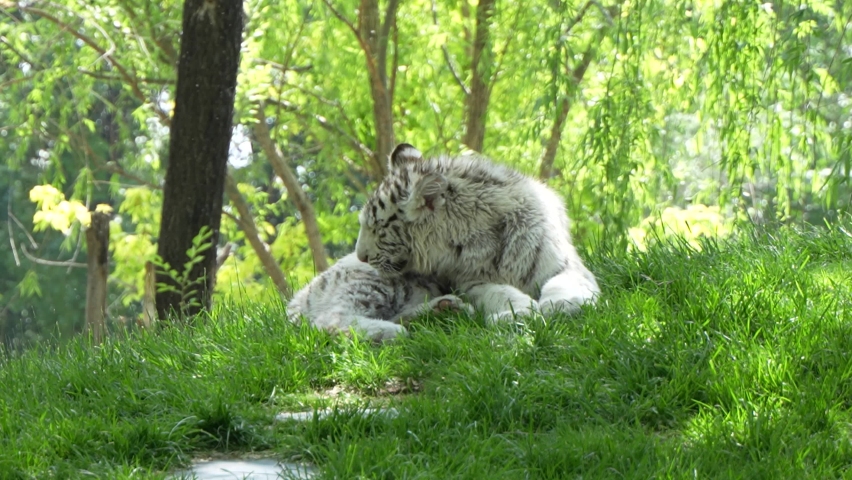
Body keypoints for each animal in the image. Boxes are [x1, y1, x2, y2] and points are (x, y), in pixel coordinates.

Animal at [354, 143, 600, 323]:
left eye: (378, 228)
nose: (360, 257)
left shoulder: (564, 264)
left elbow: (564, 282)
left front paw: (565, 304)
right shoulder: (472, 282)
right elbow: (500, 293)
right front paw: (519, 312)